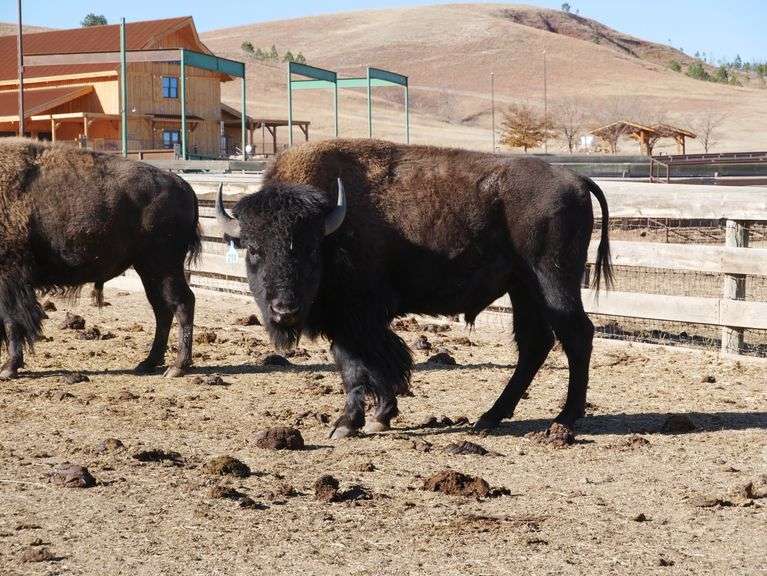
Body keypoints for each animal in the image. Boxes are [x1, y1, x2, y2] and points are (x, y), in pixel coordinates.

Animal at [0, 139, 200, 379]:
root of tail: (183, 185)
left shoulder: (9, 278)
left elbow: (11, 321)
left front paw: (8, 368)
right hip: (148, 269)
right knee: (162, 309)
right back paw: (147, 363)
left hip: (164, 266)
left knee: (182, 303)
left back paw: (177, 367)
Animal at [216, 139, 612, 439]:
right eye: (253, 249)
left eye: (311, 248)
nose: (285, 309)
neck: (333, 226)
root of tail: (577, 178)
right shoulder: (352, 323)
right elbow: (362, 364)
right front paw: (376, 417)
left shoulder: (358, 318)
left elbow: (364, 365)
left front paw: (352, 423)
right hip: (523, 287)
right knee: (535, 343)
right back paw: (489, 417)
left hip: (553, 281)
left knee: (576, 335)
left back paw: (564, 419)